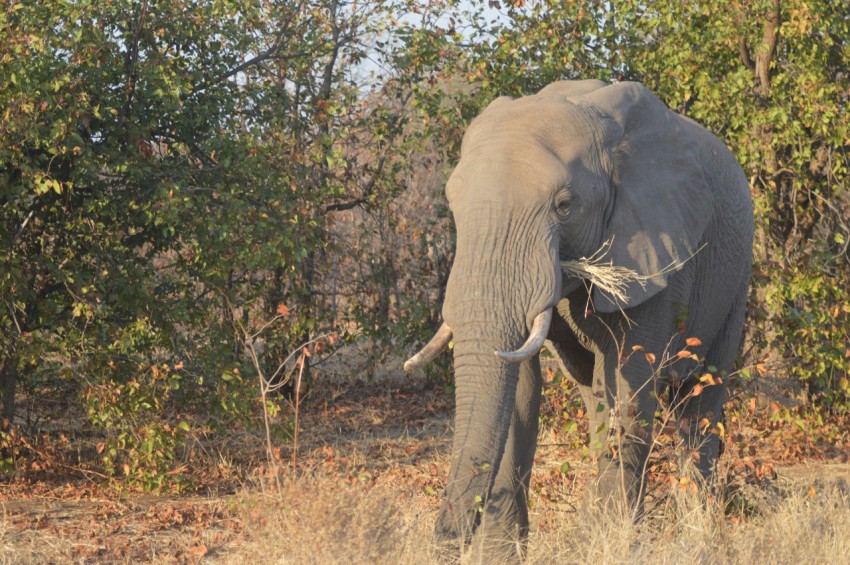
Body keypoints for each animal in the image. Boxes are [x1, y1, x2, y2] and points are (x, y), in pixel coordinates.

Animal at [404, 80, 753, 556]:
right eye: (452, 204)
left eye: (564, 206)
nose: (444, 539)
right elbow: (519, 388)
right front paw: (503, 556)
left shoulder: (657, 250)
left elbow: (630, 383)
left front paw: (615, 547)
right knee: (597, 398)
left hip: (735, 279)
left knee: (699, 400)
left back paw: (699, 538)